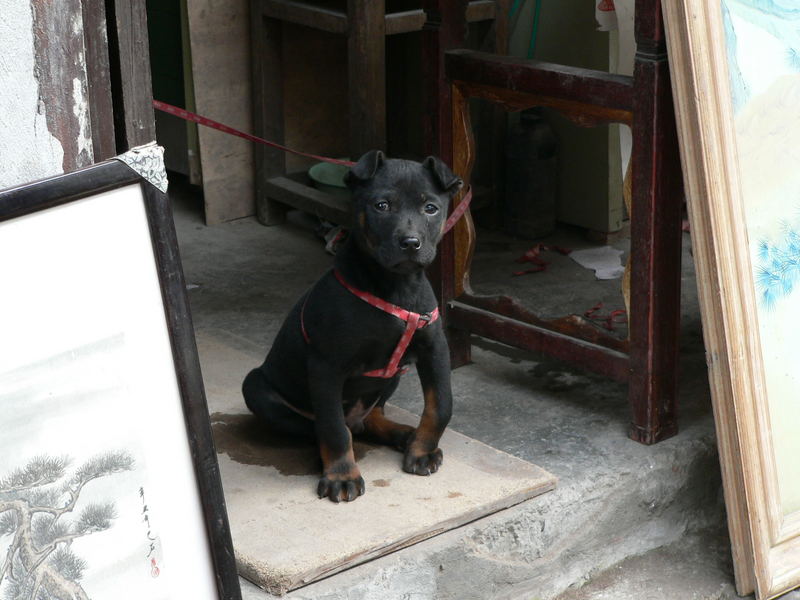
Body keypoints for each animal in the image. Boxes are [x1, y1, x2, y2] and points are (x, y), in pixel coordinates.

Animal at [242, 150, 462, 502]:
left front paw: (423, 451)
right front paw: (342, 477)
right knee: (327, 427)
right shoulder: (327, 365)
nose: (410, 242)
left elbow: (441, 404)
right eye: (381, 205)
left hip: (389, 379)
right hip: (256, 387)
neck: (395, 285)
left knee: (370, 417)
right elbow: (333, 428)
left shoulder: (435, 347)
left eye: (431, 208)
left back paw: (403, 435)